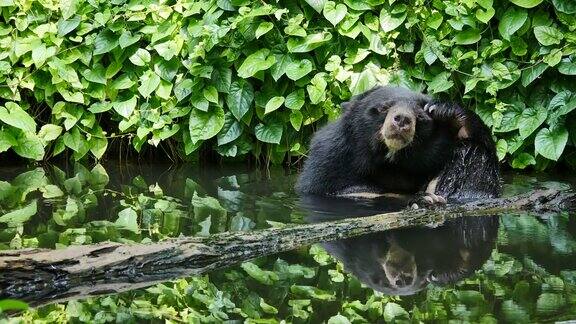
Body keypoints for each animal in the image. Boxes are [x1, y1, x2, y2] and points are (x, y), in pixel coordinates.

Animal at [296, 85, 500, 204]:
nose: (402, 119)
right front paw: (422, 200)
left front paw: (448, 111)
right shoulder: (330, 159)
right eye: (383, 107)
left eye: (420, 116)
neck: (392, 159)